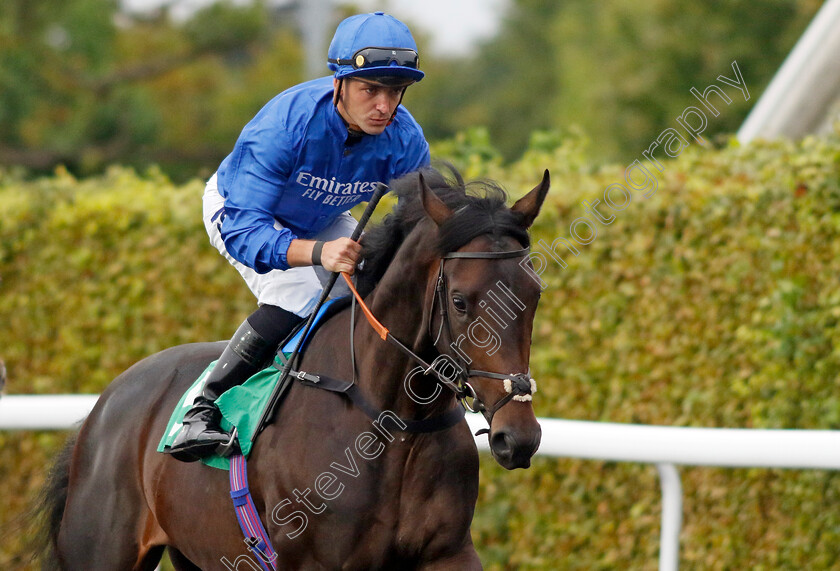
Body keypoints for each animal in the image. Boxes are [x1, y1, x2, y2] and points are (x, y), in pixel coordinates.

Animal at [36, 166, 552, 571]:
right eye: (461, 301)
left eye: (534, 294)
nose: (518, 436)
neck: (393, 421)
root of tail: (101, 409)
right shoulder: (310, 561)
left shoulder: (447, 552)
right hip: (102, 551)